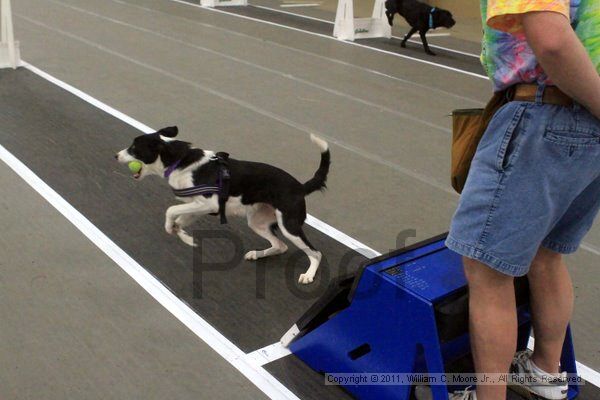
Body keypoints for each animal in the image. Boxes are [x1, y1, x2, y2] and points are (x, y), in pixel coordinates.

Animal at [115, 127, 330, 284]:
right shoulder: (197, 207)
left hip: (289, 225)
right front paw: (185, 237)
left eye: (134, 148)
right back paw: (257, 254)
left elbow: (171, 210)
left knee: (316, 253)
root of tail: (301, 187)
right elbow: (180, 219)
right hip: (258, 222)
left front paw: (172, 228)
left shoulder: (209, 203)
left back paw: (309, 275)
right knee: (280, 245)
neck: (179, 161)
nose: (116, 156)